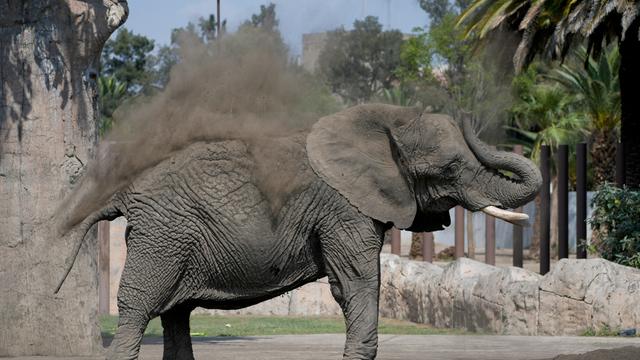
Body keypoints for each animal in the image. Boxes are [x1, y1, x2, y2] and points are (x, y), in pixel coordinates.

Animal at [57, 102, 544, 358]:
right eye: (450, 169)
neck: (388, 124)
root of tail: (125, 190)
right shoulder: (344, 209)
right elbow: (358, 282)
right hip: (164, 234)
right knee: (139, 307)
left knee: (176, 314)